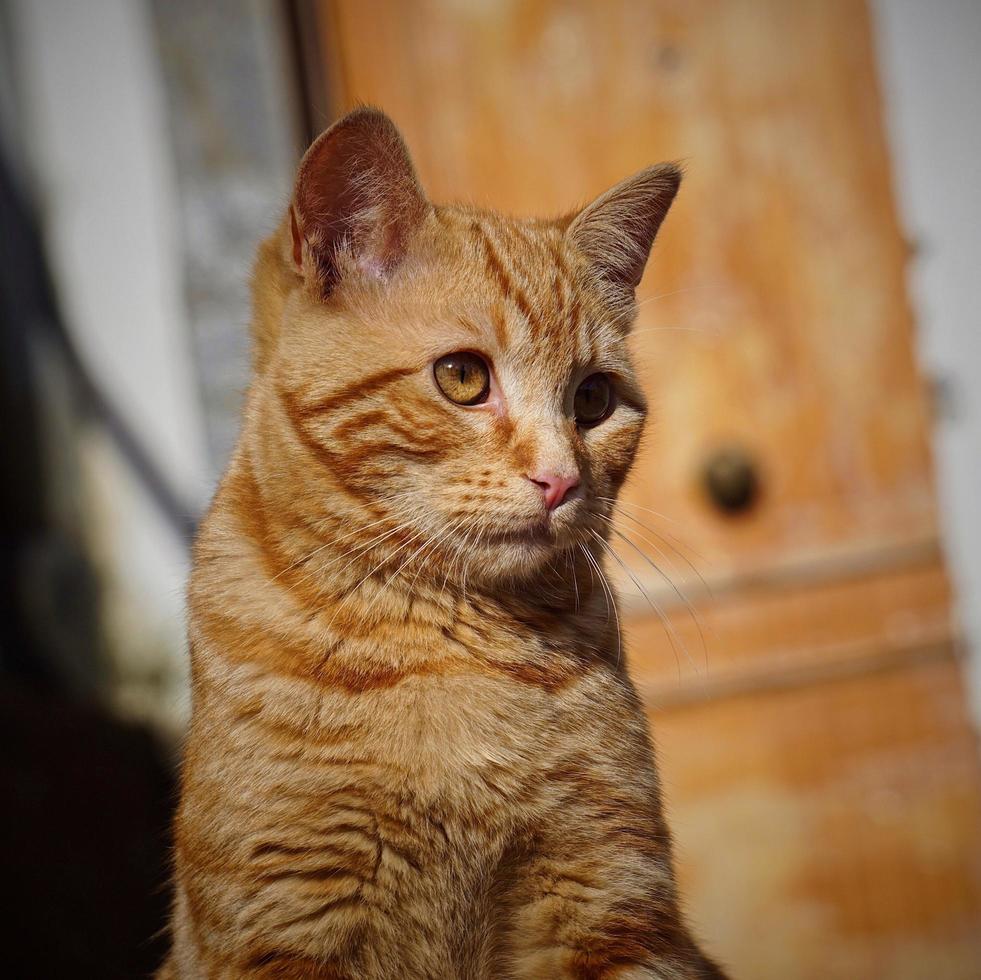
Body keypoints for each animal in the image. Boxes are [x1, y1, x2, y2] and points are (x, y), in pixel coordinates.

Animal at [161, 107, 724, 980]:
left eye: (593, 400)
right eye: (462, 377)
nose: (561, 480)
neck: (446, 648)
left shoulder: (613, 908)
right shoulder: (281, 920)